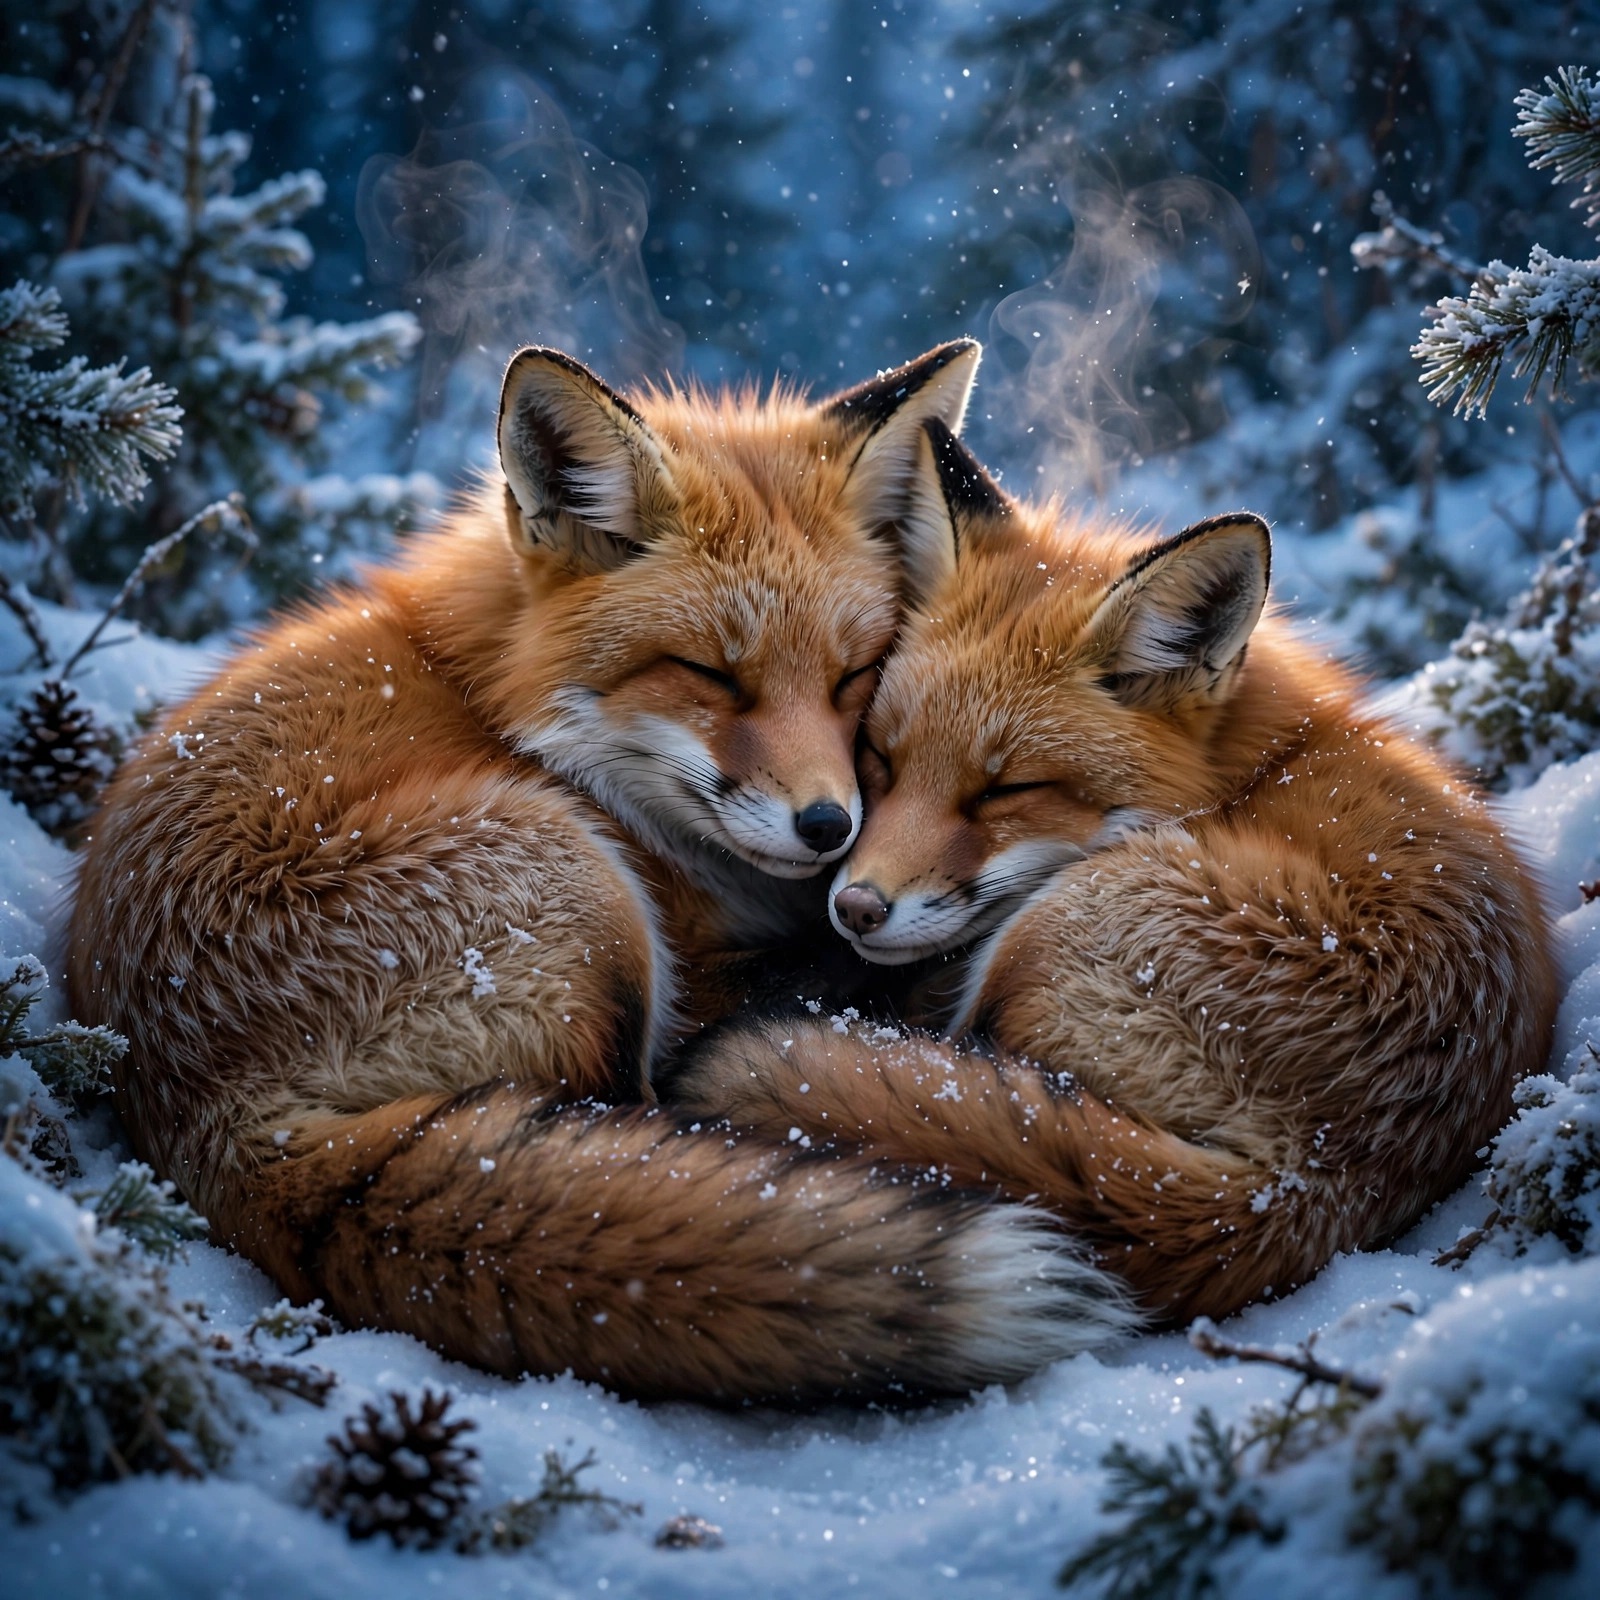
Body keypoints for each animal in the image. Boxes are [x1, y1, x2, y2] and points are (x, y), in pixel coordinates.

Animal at [65, 344, 1138, 1404]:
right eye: (712, 676)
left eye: (852, 678)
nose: (830, 829)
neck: (495, 699)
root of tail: (196, 1110)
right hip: (595, 905)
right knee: (630, 1109)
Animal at [667, 419, 1559, 1325]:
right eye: (880, 758)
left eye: (1007, 790)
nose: (854, 908)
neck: (1250, 768)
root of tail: (1313, 1177)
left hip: (1047, 927)